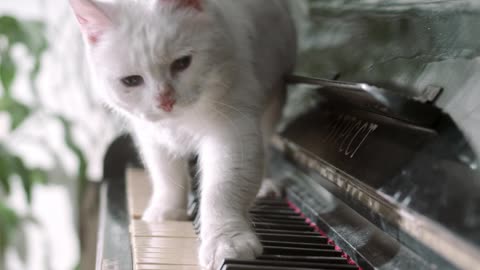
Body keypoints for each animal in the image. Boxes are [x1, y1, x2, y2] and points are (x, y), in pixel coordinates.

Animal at [69, 0, 294, 266]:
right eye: (131, 81)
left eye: (182, 63)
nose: (165, 101)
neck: (180, 122)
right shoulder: (151, 137)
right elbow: (166, 176)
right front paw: (167, 212)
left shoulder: (232, 133)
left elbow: (222, 190)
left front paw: (226, 243)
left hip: (272, 101)